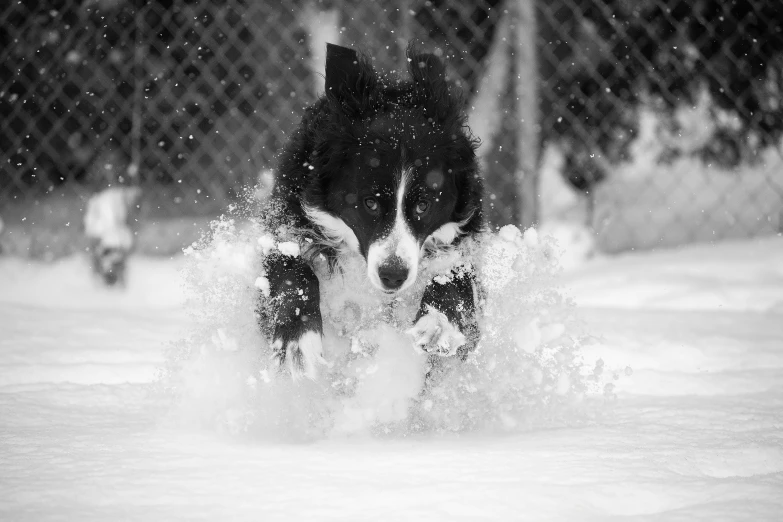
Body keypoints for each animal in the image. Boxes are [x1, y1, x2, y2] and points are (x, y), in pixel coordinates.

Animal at [258, 43, 484, 378]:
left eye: (424, 204)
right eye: (370, 203)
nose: (393, 276)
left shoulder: (462, 241)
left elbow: (455, 278)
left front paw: (436, 323)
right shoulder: (287, 222)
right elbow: (291, 269)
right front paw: (297, 341)